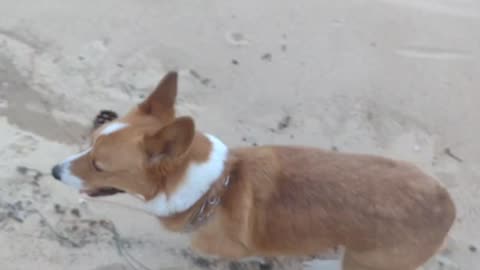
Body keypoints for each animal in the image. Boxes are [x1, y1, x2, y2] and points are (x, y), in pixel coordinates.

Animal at [50, 71, 456, 270]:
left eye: (99, 165)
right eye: (91, 139)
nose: (53, 171)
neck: (212, 189)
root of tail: (447, 207)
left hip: (366, 263)